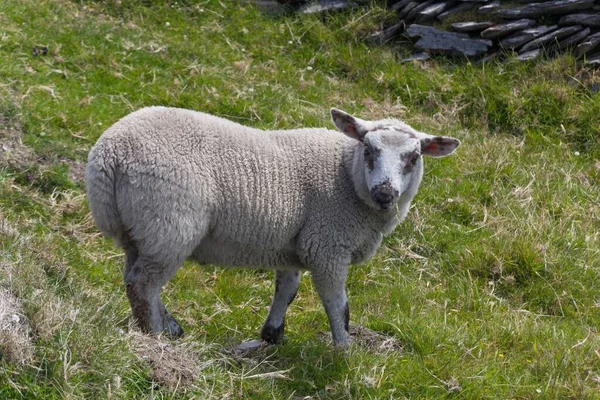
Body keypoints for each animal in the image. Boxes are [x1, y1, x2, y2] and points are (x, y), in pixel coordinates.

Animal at [85, 107, 460, 346]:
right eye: (368, 149)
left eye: (414, 157)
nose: (384, 193)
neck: (347, 177)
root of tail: (109, 154)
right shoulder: (327, 246)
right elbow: (337, 304)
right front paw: (344, 351)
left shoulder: (294, 247)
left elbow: (288, 290)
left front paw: (272, 335)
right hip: (169, 223)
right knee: (143, 284)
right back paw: (155, 336)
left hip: (141, 230)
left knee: (135, 277)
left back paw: (169, 327)